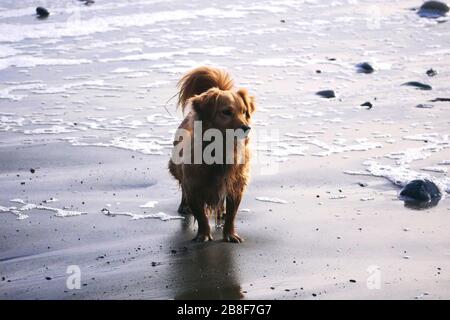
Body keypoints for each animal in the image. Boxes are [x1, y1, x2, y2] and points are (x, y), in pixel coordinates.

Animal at [168, 67, 255, 242]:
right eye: (226, 112)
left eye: (244, 112)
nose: (246, 127)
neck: (221, 148)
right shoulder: (193, 185)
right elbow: (200, 215)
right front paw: (204, 234)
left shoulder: (236, 185)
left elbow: (232, 213)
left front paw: (230, 234)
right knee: (182, 186)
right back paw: (183, 206)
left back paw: (221, 212)